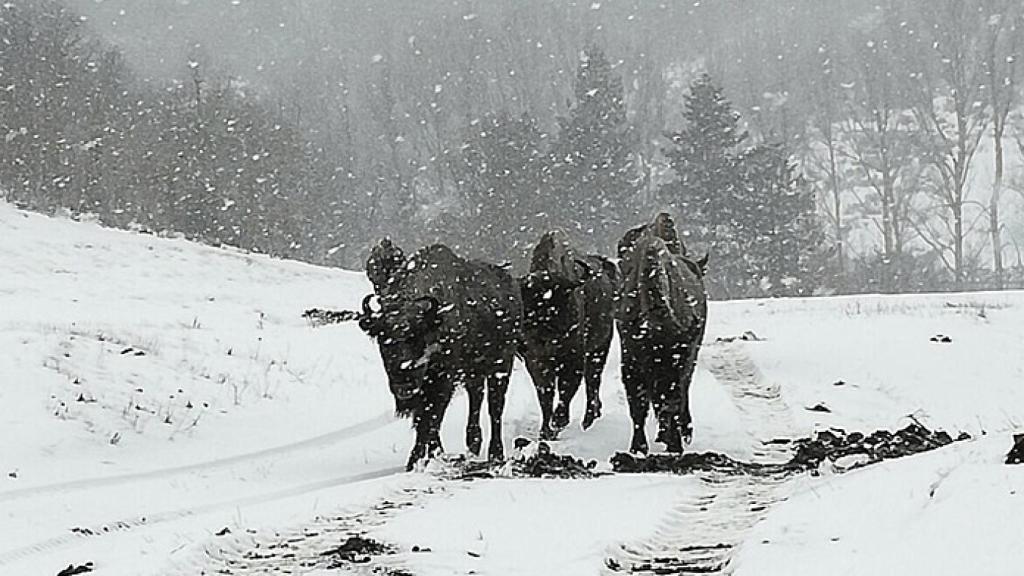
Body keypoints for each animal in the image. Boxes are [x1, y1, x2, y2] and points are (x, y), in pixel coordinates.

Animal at [358, 239, 520, 469]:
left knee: (495, 406)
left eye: (417, 336)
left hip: (502, 364)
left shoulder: (443, 380)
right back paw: (473, 444)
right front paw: (430, 455)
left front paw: (417, 459)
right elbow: (423, 419)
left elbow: (432, 417)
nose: (403, 385)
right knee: (476, 399)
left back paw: (496, 453)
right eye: (383, 340)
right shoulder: (426, 385)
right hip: (474, 372)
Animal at [520, 230, 614, 436]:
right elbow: (545, 394)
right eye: (527, 301)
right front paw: (546, 430)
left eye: (560, 299)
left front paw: (559, 421)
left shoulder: (573, 359)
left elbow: (567, 389)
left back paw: (588, 419)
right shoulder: (536, 361)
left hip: (600, 348)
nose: (543, 335)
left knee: (592, 381)